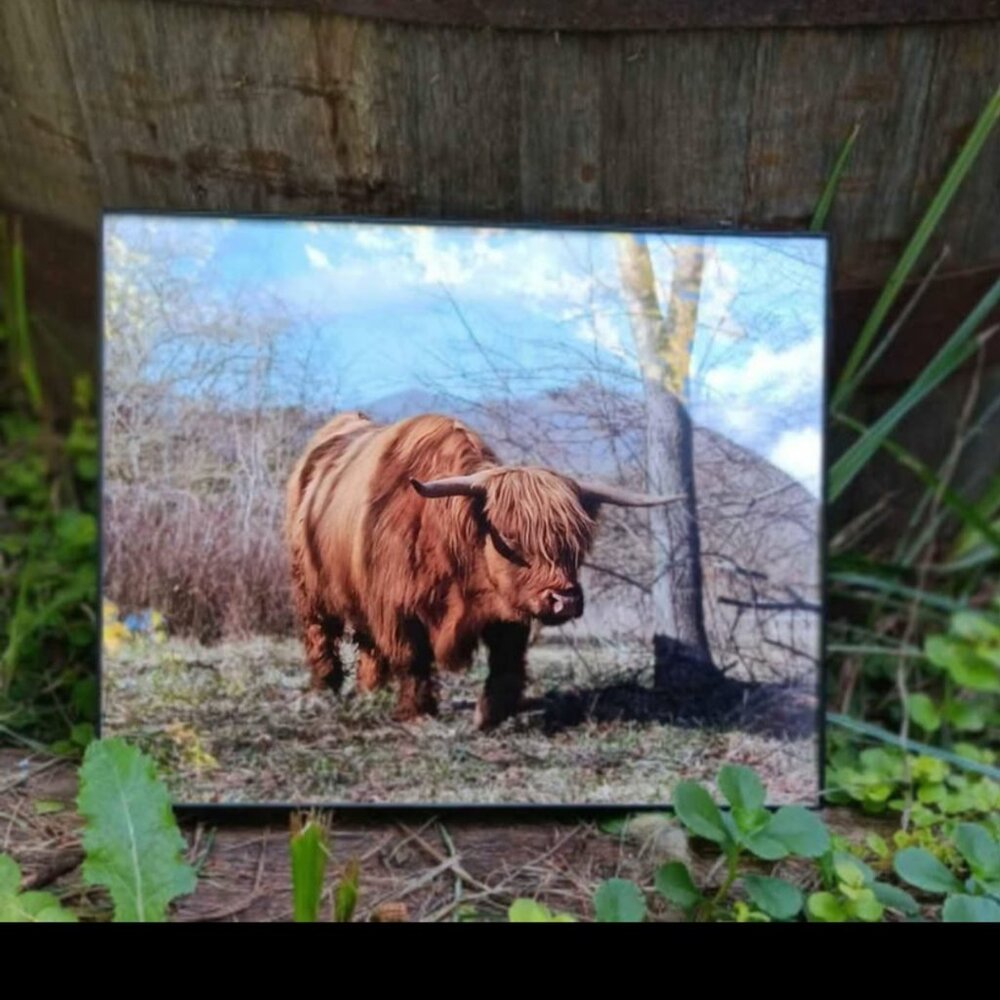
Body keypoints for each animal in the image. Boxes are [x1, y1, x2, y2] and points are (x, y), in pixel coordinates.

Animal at [285, 411, 678, 730]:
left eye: (578, 542)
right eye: (511, 537)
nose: (564, 600)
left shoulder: (508, 610)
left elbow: (507, 662)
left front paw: (490, 716)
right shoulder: (396, 609)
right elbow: (412, 659)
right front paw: (417, 713)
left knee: (368, 646)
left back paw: (371, 690)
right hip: (310, 588)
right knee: (320, 633)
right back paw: (324, 689)